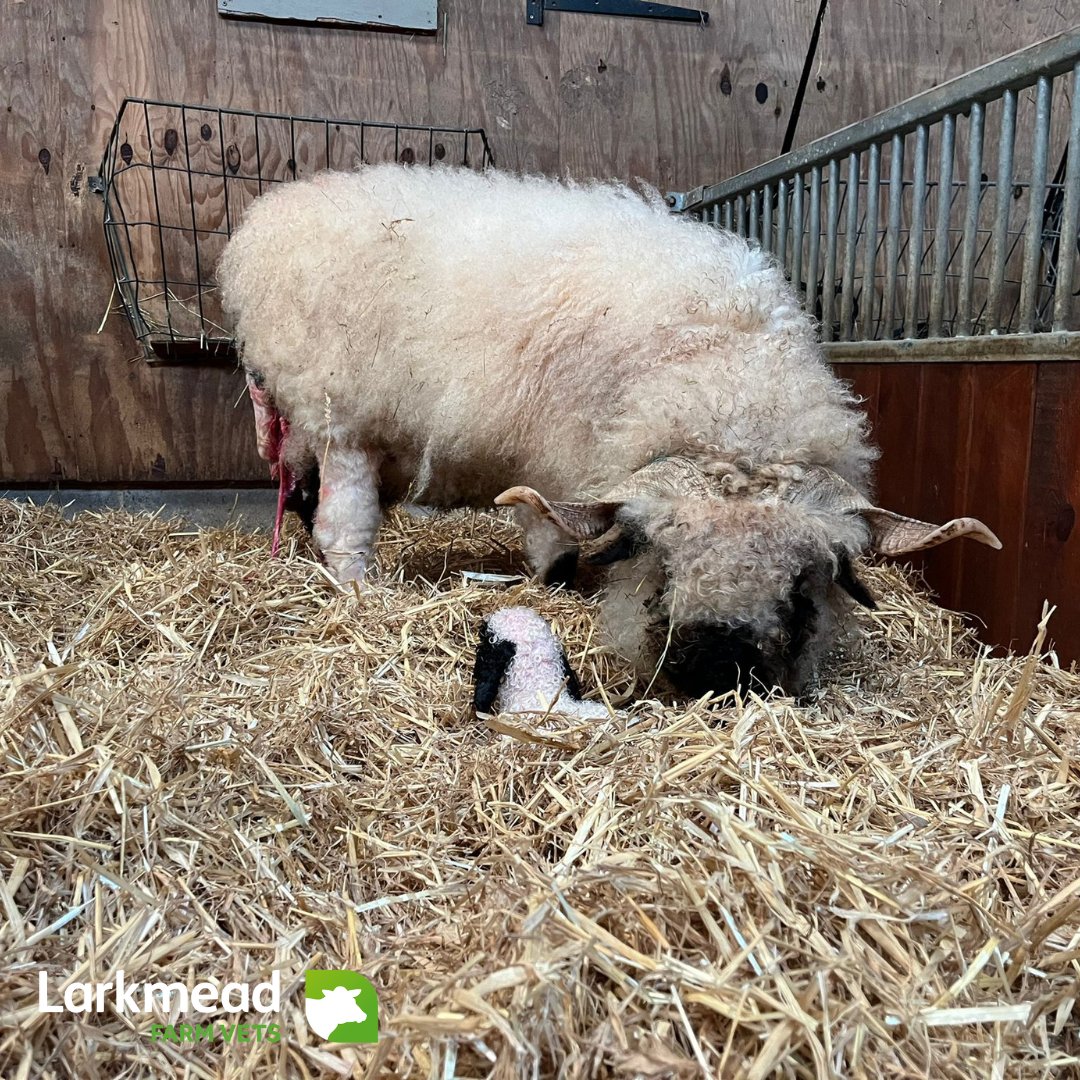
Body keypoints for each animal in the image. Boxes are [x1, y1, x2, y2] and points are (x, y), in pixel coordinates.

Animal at [218, 164, 1000, 699]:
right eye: (664, 566)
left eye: (802, 586)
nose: (716, 670)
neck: (722, 371)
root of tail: (273, 213)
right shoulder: (559, 458)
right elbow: (554, 540)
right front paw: (557, 588)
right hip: (340, 415)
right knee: (341, 522)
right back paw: (359, 588)